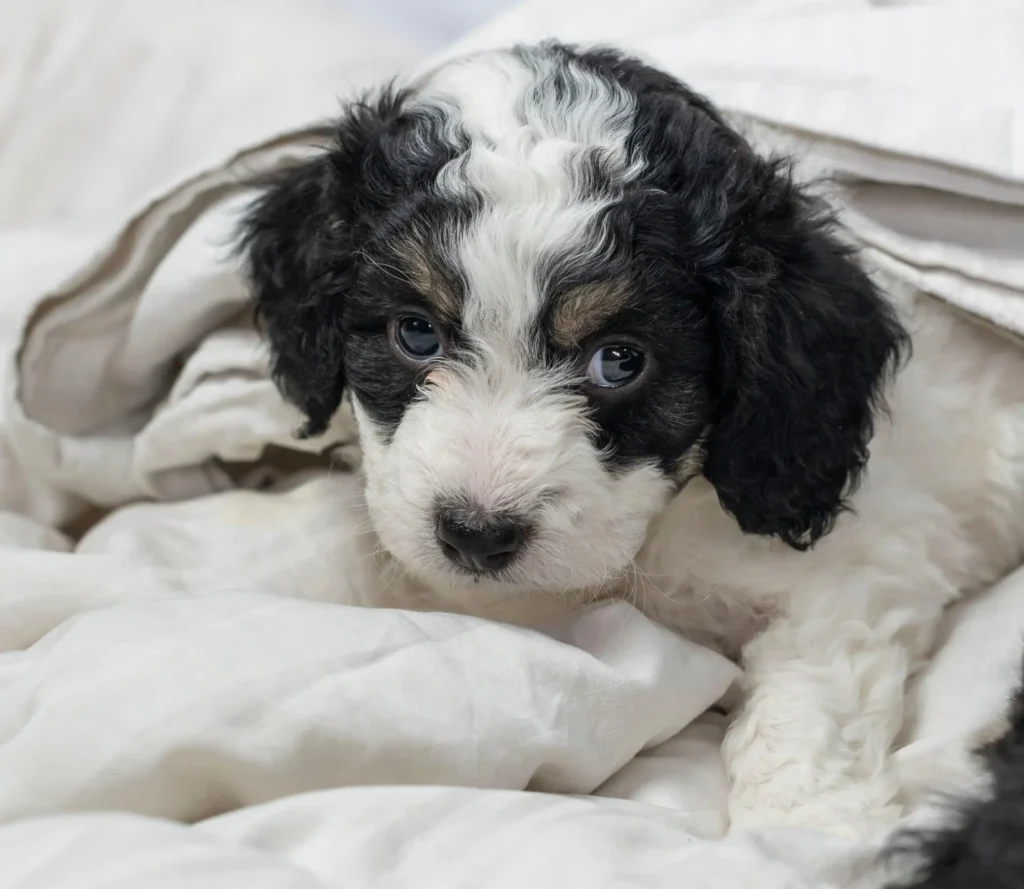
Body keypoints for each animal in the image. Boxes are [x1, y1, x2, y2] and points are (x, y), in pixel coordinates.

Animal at [237, 39, 1024, 831]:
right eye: (417, 332)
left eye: (620, 360)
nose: (476, 536)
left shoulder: (863, 554)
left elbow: (815, 679)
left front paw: (802, 822)